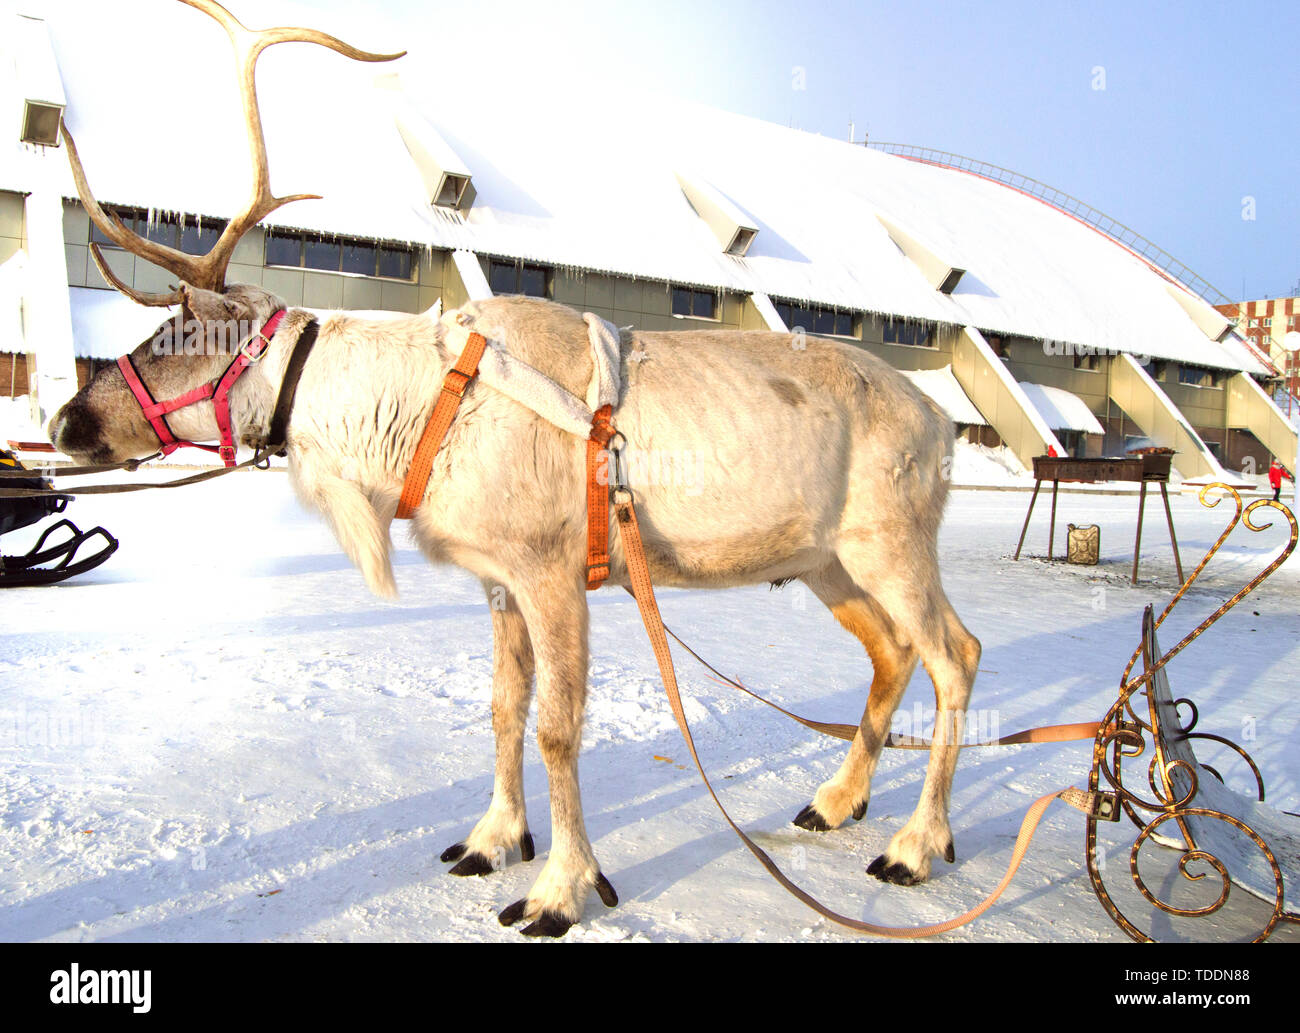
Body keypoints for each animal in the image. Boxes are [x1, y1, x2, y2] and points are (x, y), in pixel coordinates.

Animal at [47, 0, 981, 937]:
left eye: (179, 335)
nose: (65, 420)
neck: (410, 417)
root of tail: (941, 420)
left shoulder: (552, 571)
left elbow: (557, 728)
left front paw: (561, 887)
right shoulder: (495, 578)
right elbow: (503, 709)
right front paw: (493, 838)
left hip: (890, 544)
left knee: (955, 653)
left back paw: (915, 843)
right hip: (825, 561)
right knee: (893, 653)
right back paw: (836, 801)